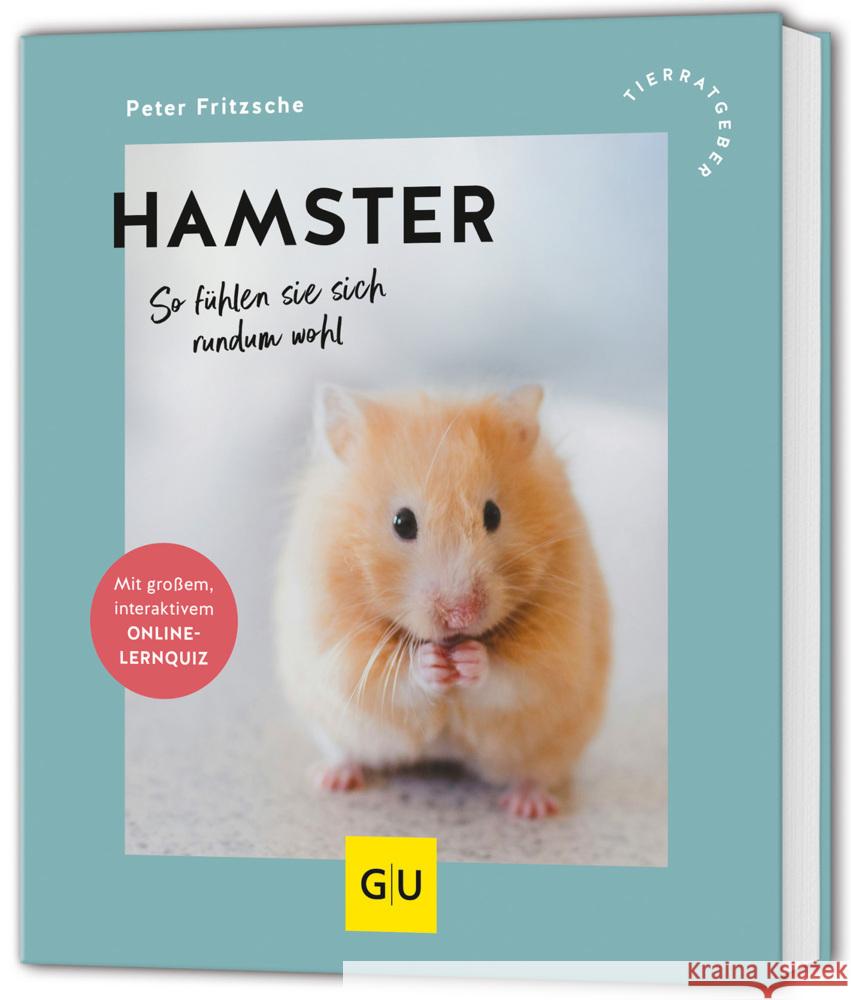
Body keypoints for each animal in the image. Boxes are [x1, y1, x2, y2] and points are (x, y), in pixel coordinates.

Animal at [275, 385, 610, 818]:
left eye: (493, 514)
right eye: (402, 522)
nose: (461, 614)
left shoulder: (555, 651)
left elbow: (512, 676)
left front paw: (469, 660)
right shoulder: (338, 647)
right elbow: (390, 678)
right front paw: (432, 663)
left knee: (535, 773)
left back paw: (529, 806)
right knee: (346, 752)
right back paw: (332, 778)